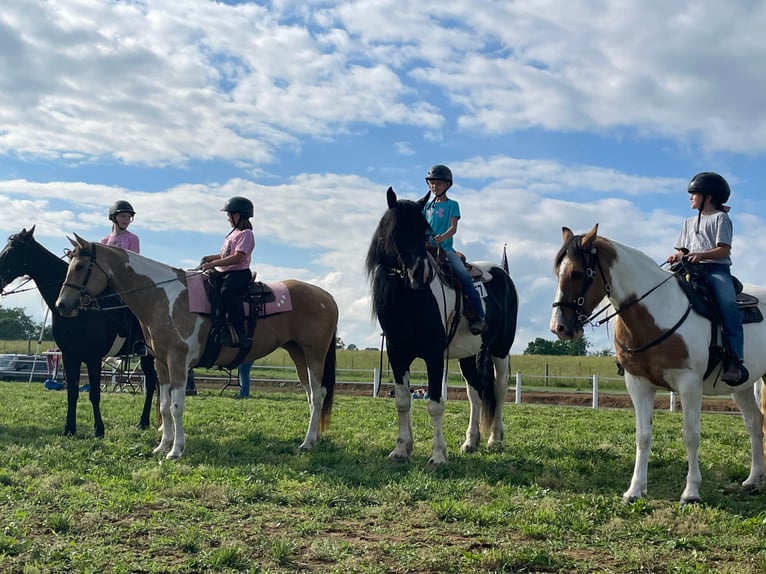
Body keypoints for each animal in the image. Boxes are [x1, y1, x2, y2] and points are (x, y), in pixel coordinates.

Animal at [0, 227, 158, 438]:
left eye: (12, 250)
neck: (79, 309)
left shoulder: (92, 357)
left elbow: (94, 393)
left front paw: (99, 429)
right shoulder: (69, 356)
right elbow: (72, 393)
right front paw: (70, 428)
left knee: (153, 383)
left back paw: (145, 422)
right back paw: (146, 422)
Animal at [55, 236, 338, 462]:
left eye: (80, 266)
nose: (62, 305)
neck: (164, 297)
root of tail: (327, 297)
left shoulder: (178, 361)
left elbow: (176, 406)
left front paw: (176, 450)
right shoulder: (161, 363)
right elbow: (163, 406)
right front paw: (162, 446)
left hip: (314, 355)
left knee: (318, 395)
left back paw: (306, 443)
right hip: (298, 354)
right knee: (313, 396)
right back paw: (312, 439)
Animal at [368, 189, 520, 468]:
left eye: (424, 231)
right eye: (396, 231)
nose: (421, 273)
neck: (410, 298)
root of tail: (503, 273)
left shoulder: (434, 354)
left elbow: (435, 404)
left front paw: (438, 454)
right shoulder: (397, 353)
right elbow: (402, 401)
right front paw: (401, 449)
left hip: (501, 349)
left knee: (500, 388)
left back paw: (495, 439)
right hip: (469, 355)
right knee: (475, 393)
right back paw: (471, 441)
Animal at [552, 225, 766, 504]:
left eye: (577, 273)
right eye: (557, 272)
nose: (559, 328)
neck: (655, 312)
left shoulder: (689, 384)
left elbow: (691, 435)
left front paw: (691, 492)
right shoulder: (638, 383)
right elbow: (643, 436)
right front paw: (634, 490)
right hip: (742, 385)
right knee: (754, 422)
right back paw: (753, 480)